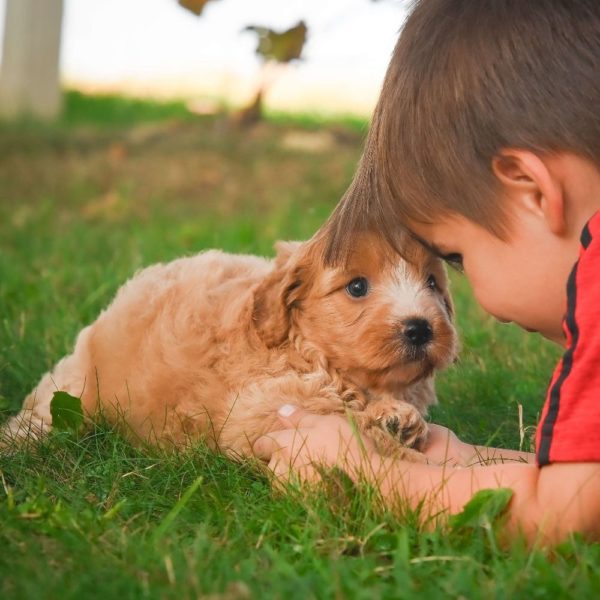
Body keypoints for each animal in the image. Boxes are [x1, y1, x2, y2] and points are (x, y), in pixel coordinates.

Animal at [2, 230, 458, 460]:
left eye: (432, 282)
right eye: (358, 287)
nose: (420, 328)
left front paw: (402, 420)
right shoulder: (255, 410)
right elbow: (329, 403)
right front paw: (388, 418)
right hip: (77, 385)